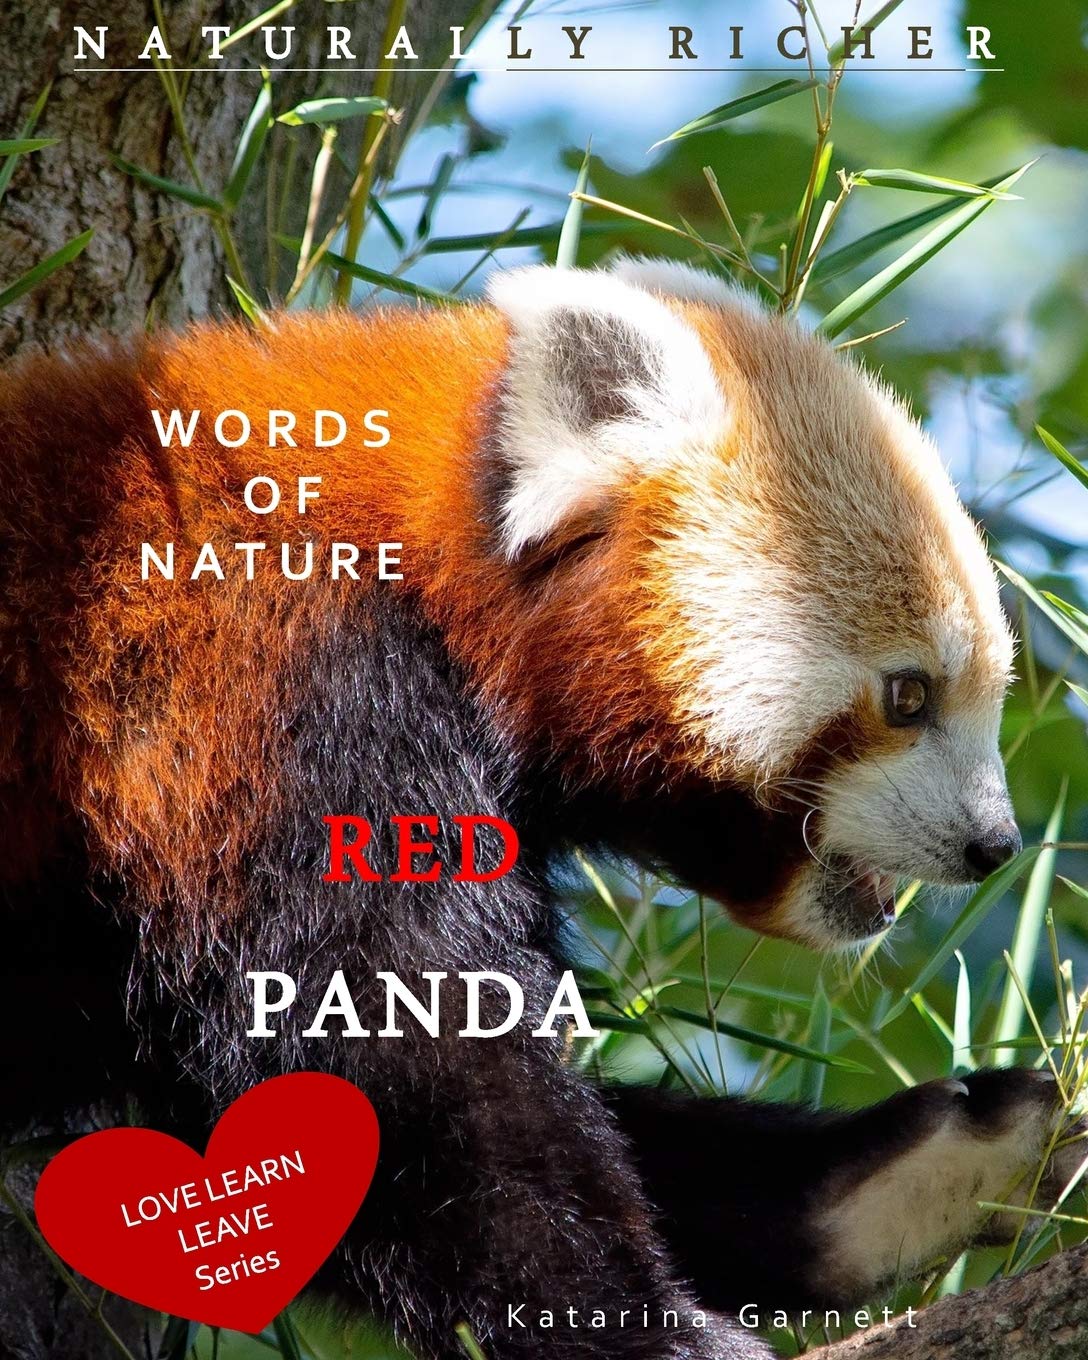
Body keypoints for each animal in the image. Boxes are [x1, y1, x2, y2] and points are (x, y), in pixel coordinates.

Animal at [0, 259, 1075, 1359]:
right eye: (909, 695)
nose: (993, 845)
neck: (424, 578)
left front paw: (895, 1176)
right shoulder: (272, 705)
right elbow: (404, 1068)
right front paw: (655, 1331)